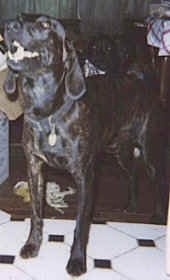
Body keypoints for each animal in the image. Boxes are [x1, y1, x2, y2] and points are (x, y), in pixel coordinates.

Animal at [3, 13, 168, 276]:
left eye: (45, 24)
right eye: (19, 18)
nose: (9, 26)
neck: (48, 112)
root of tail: (145, 85)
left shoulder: (85, 178)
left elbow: (81, 226)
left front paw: (77, 261)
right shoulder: (35, 168)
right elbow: (36, 214)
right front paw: (32, 245)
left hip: (150, 150)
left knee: (159, 181)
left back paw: (158, 214)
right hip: (120, 150)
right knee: (133, 174)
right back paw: (131, 205)